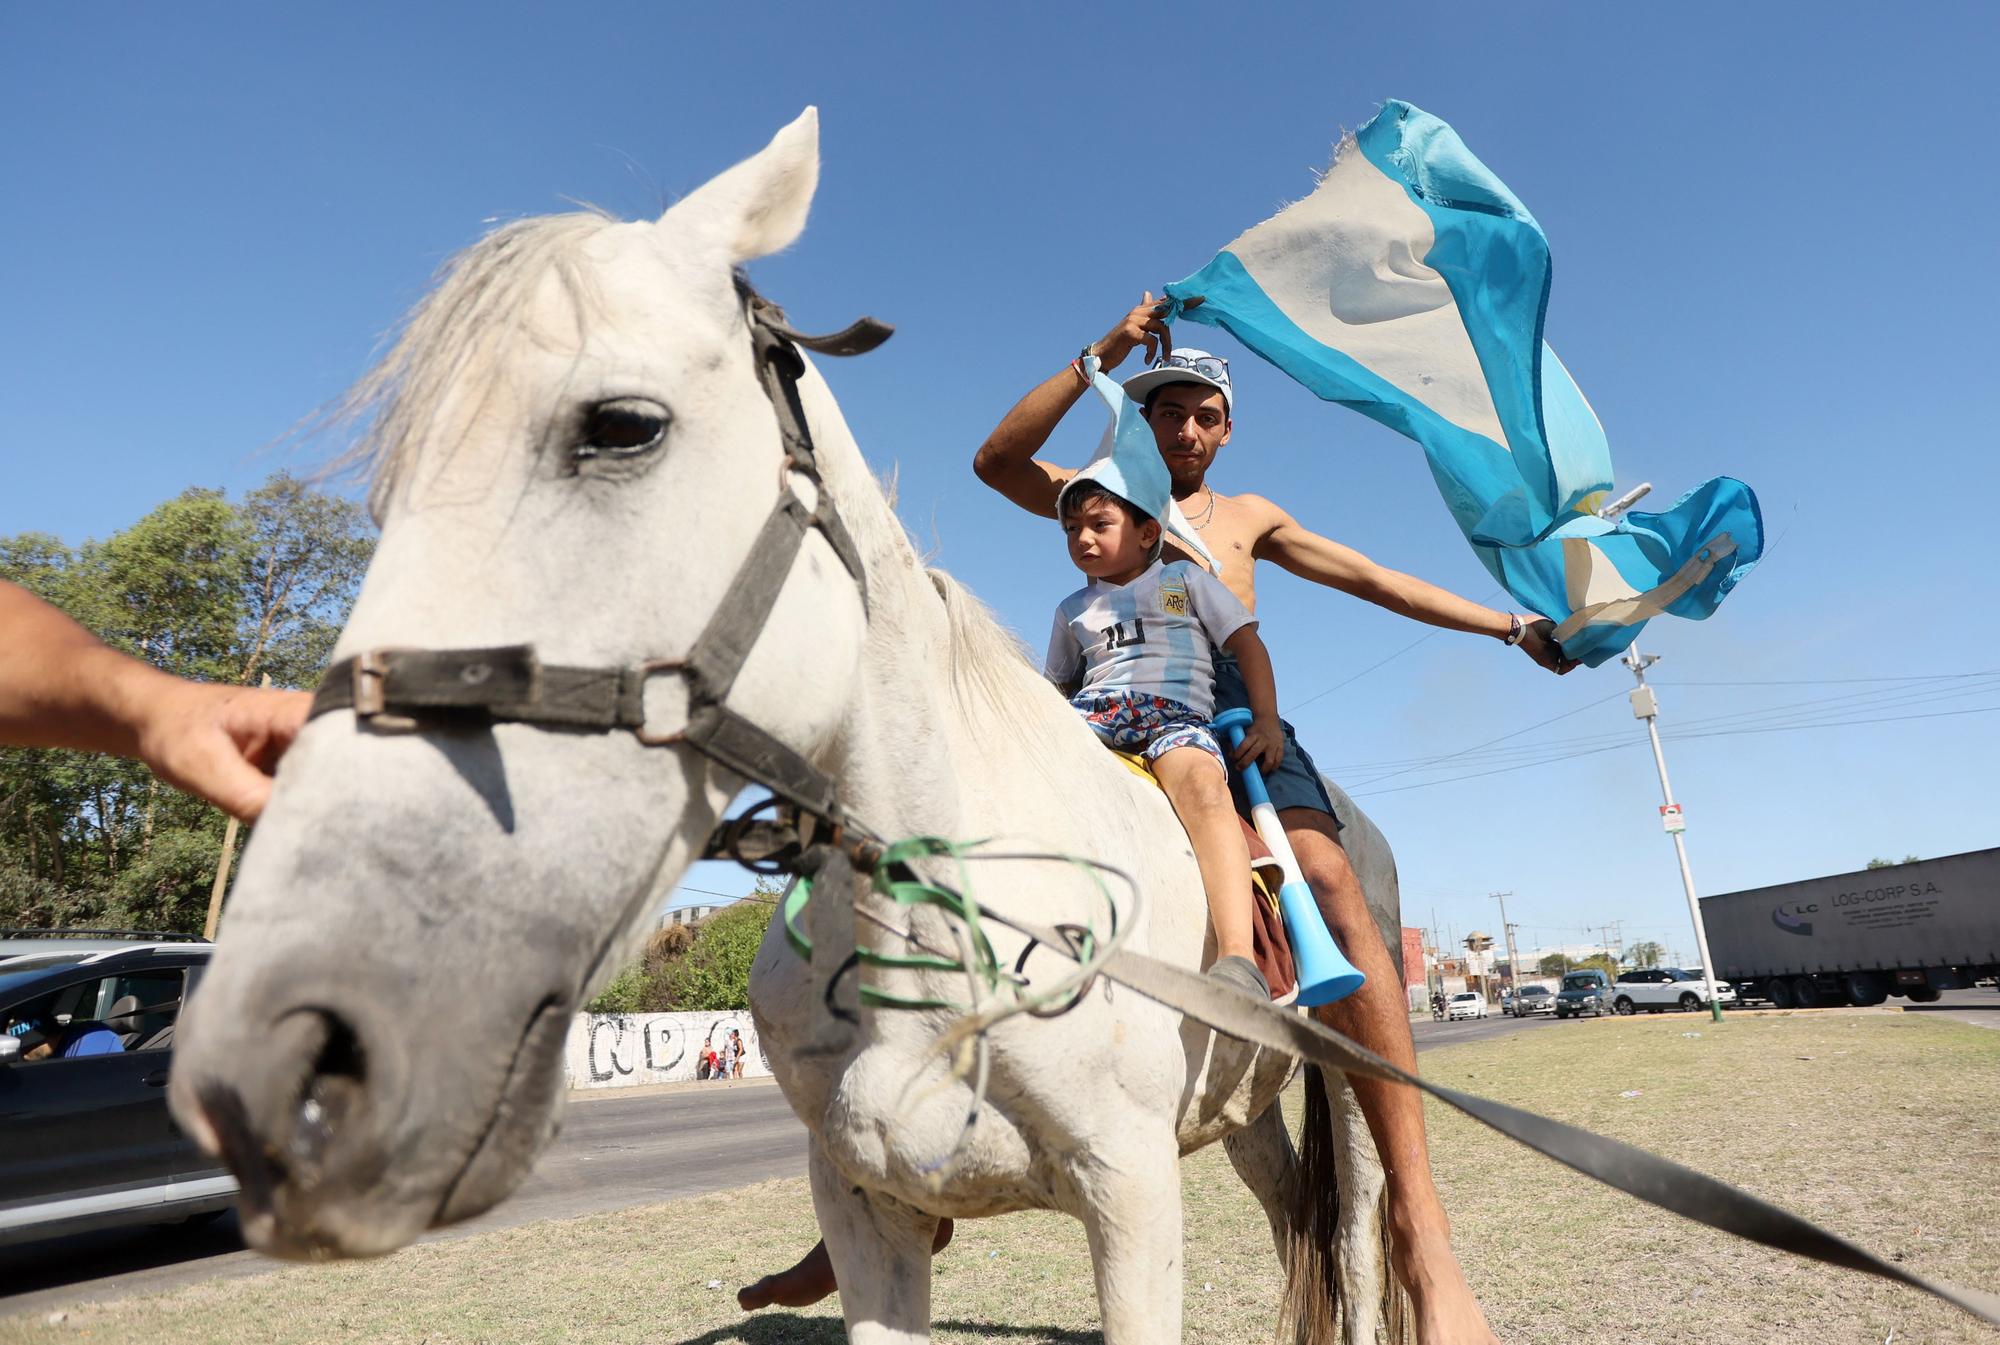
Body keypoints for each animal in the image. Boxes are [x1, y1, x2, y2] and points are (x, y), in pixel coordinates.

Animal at [176, 113, 1408, 1345]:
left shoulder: (1132, 1193)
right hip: (1242, 1119)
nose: (286, 1051)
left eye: (621, 427)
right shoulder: (865, 1205)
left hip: (1353, 1090)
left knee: (1352, 1239)